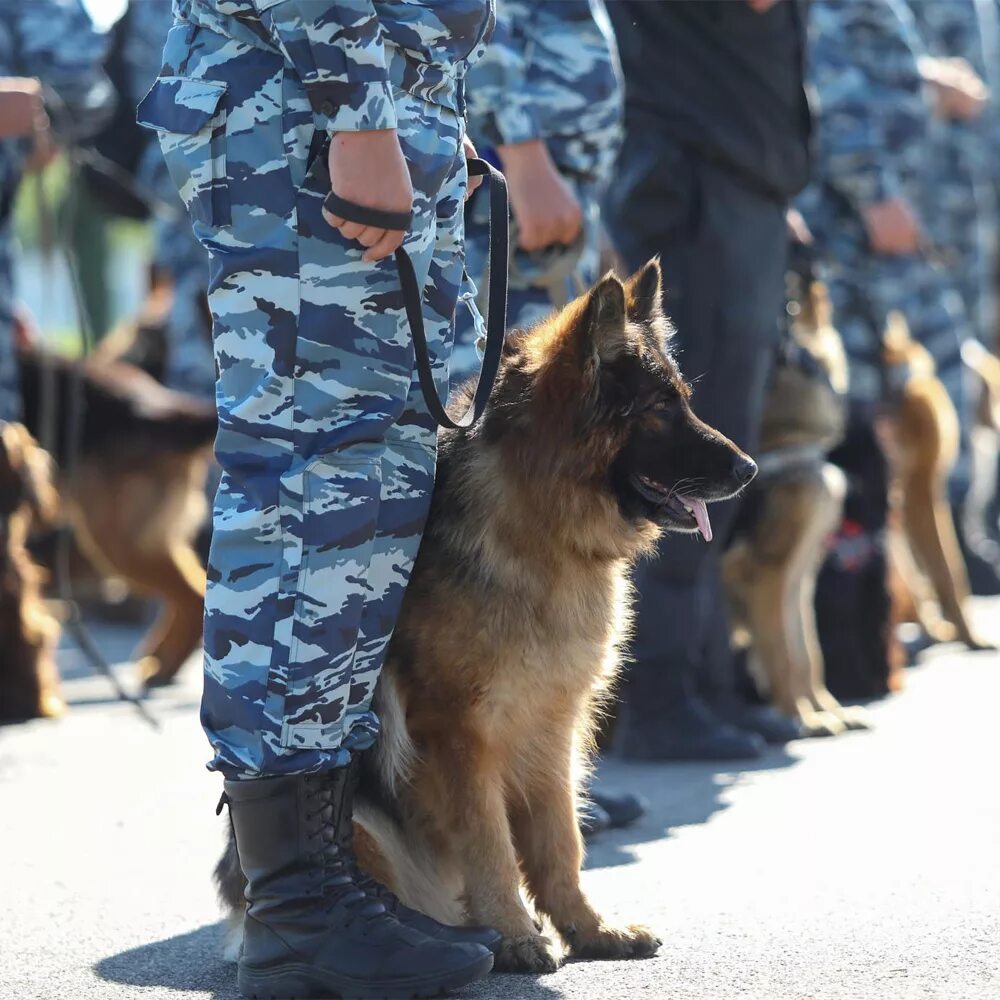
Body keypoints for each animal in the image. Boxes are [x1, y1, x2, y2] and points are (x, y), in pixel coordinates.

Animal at [215, 262, 752, 972]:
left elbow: (561, 841)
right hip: (364, 825)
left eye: (684, 399)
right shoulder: (459, 735)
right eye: (662, 409)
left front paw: (586, 928)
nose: (750, 469)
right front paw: (518, 935)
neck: (541, 526)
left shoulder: (553, 727)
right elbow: (489, 843)